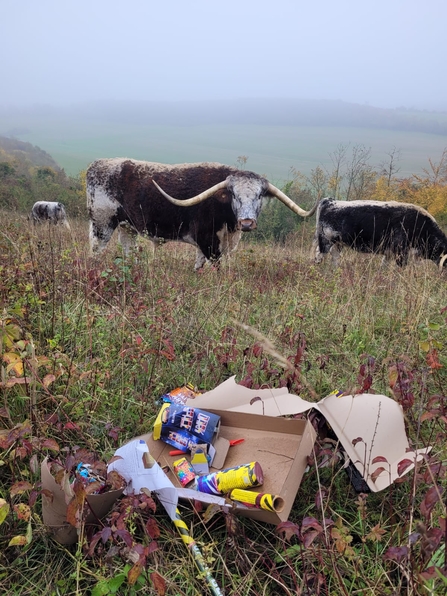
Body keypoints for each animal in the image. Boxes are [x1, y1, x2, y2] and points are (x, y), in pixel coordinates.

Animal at [86, 158, 318, 270]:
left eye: (259, 195)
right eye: (233, 194)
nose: (247, 223)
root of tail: (98, 163)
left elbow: (198, 267)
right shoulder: (208, 241)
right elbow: (216, 267)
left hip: (127, 228)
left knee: (129, 251)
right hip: (102, 224)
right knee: (95, 251)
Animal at [314, 198, 447, 268]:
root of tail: (330, 201)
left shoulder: (389, 253)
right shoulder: (400, 252)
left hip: (338, 244)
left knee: (334, 258)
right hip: (325, 242)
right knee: (318, 258)